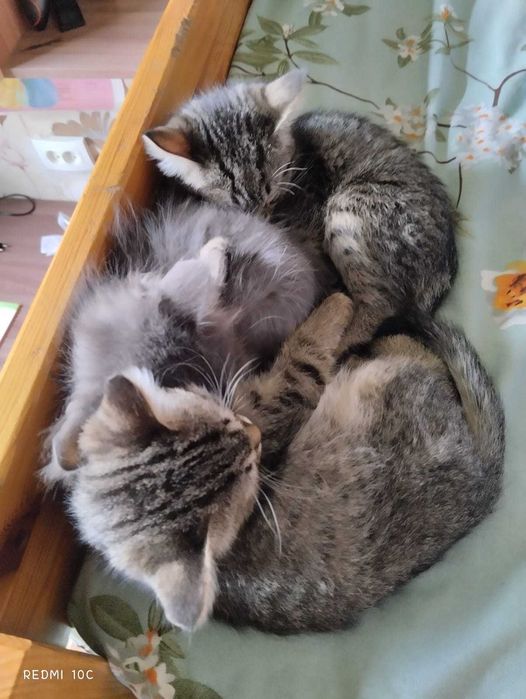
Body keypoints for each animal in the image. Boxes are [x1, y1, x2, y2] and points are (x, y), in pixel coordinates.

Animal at [47, 293, 504, 634]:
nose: (254, 435)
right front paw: (339, 303)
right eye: (249, 470)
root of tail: (482, 483)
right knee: (421, 356)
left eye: (222, 415)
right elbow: (304, 359)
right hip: (389, 385)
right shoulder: (285, 400)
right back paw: (377, 335)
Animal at [143, 69, 458, 342]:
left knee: (378, 306)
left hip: (348, 209)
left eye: (271, 199)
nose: (263, 225)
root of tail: (444, 268)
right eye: (238, 208)